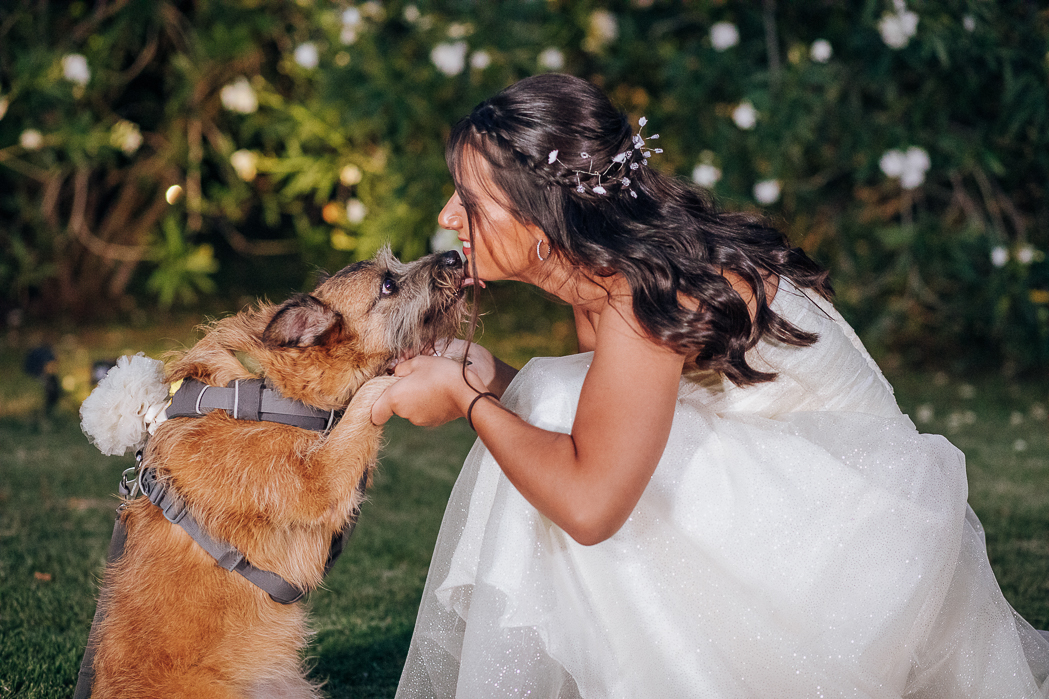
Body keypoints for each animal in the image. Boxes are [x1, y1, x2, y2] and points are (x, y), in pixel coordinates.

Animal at [88, 250, 465, 696]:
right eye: (388, 285)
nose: (456, 255)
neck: (272, 387)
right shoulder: (315, 481)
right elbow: (365, 403)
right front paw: (389, 380)